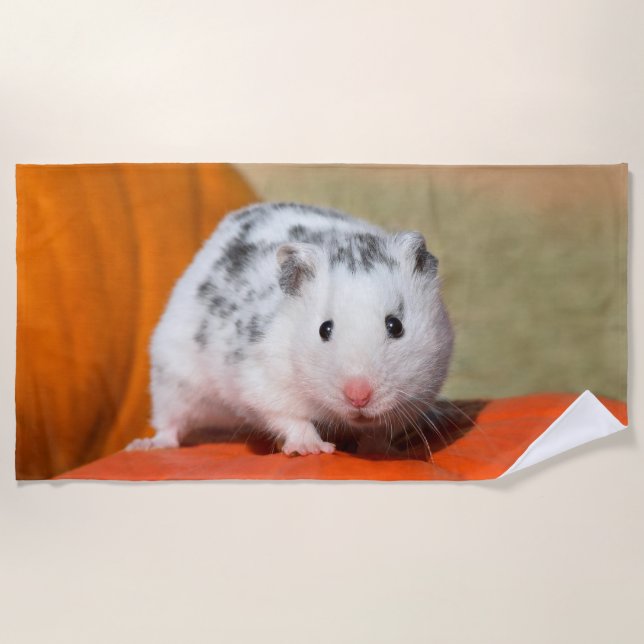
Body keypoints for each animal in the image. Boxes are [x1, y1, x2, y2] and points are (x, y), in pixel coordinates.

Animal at [126, 202, 454, 456]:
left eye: (395, 326)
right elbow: (290, 418)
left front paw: (383, 450)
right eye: (324, 329)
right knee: (170, 423)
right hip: (173, 378)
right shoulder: (263, 382)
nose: (358, 398)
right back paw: (146, 445)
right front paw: (311, 449)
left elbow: (379, 432)